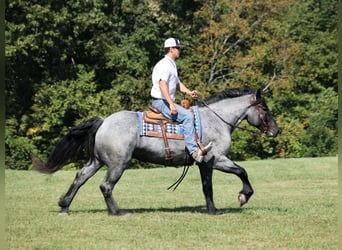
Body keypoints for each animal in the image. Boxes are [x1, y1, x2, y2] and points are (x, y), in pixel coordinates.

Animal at [34, 88, 280, 215]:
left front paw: (212, 208)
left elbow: (207, 186)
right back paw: (117, 211)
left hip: (97, 161)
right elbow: (241, 172)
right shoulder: (216, 158)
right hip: (117, 164)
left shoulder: (204, 163)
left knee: (80, 178)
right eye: (264, 108)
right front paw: (242, 196)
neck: (215, 120)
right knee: (105, 186)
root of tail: (104, 121)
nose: (276, 131)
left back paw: (65, 206)